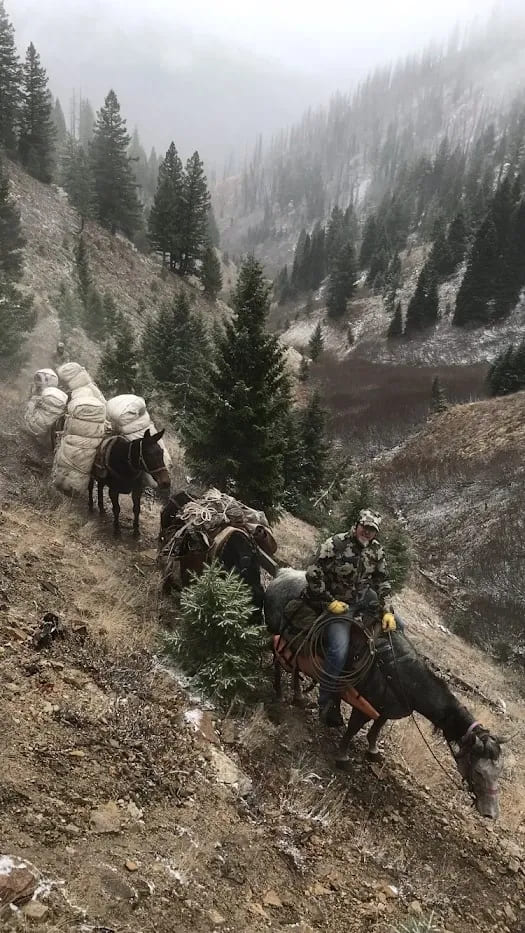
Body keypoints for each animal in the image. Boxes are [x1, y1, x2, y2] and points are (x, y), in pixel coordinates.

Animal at [264, 569, 504, 819]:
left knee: (295, 668)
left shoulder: (386, 709)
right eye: (478, 772)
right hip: (278, 634)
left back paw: (299, 697)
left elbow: (376, 729)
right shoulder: (365, 706)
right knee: (278, 659)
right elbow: (353, 730)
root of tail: (282, 574)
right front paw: (343, 756)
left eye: (499, 773)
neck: (398, 672)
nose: (491, 814)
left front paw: (373, 751)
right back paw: (279, 693)